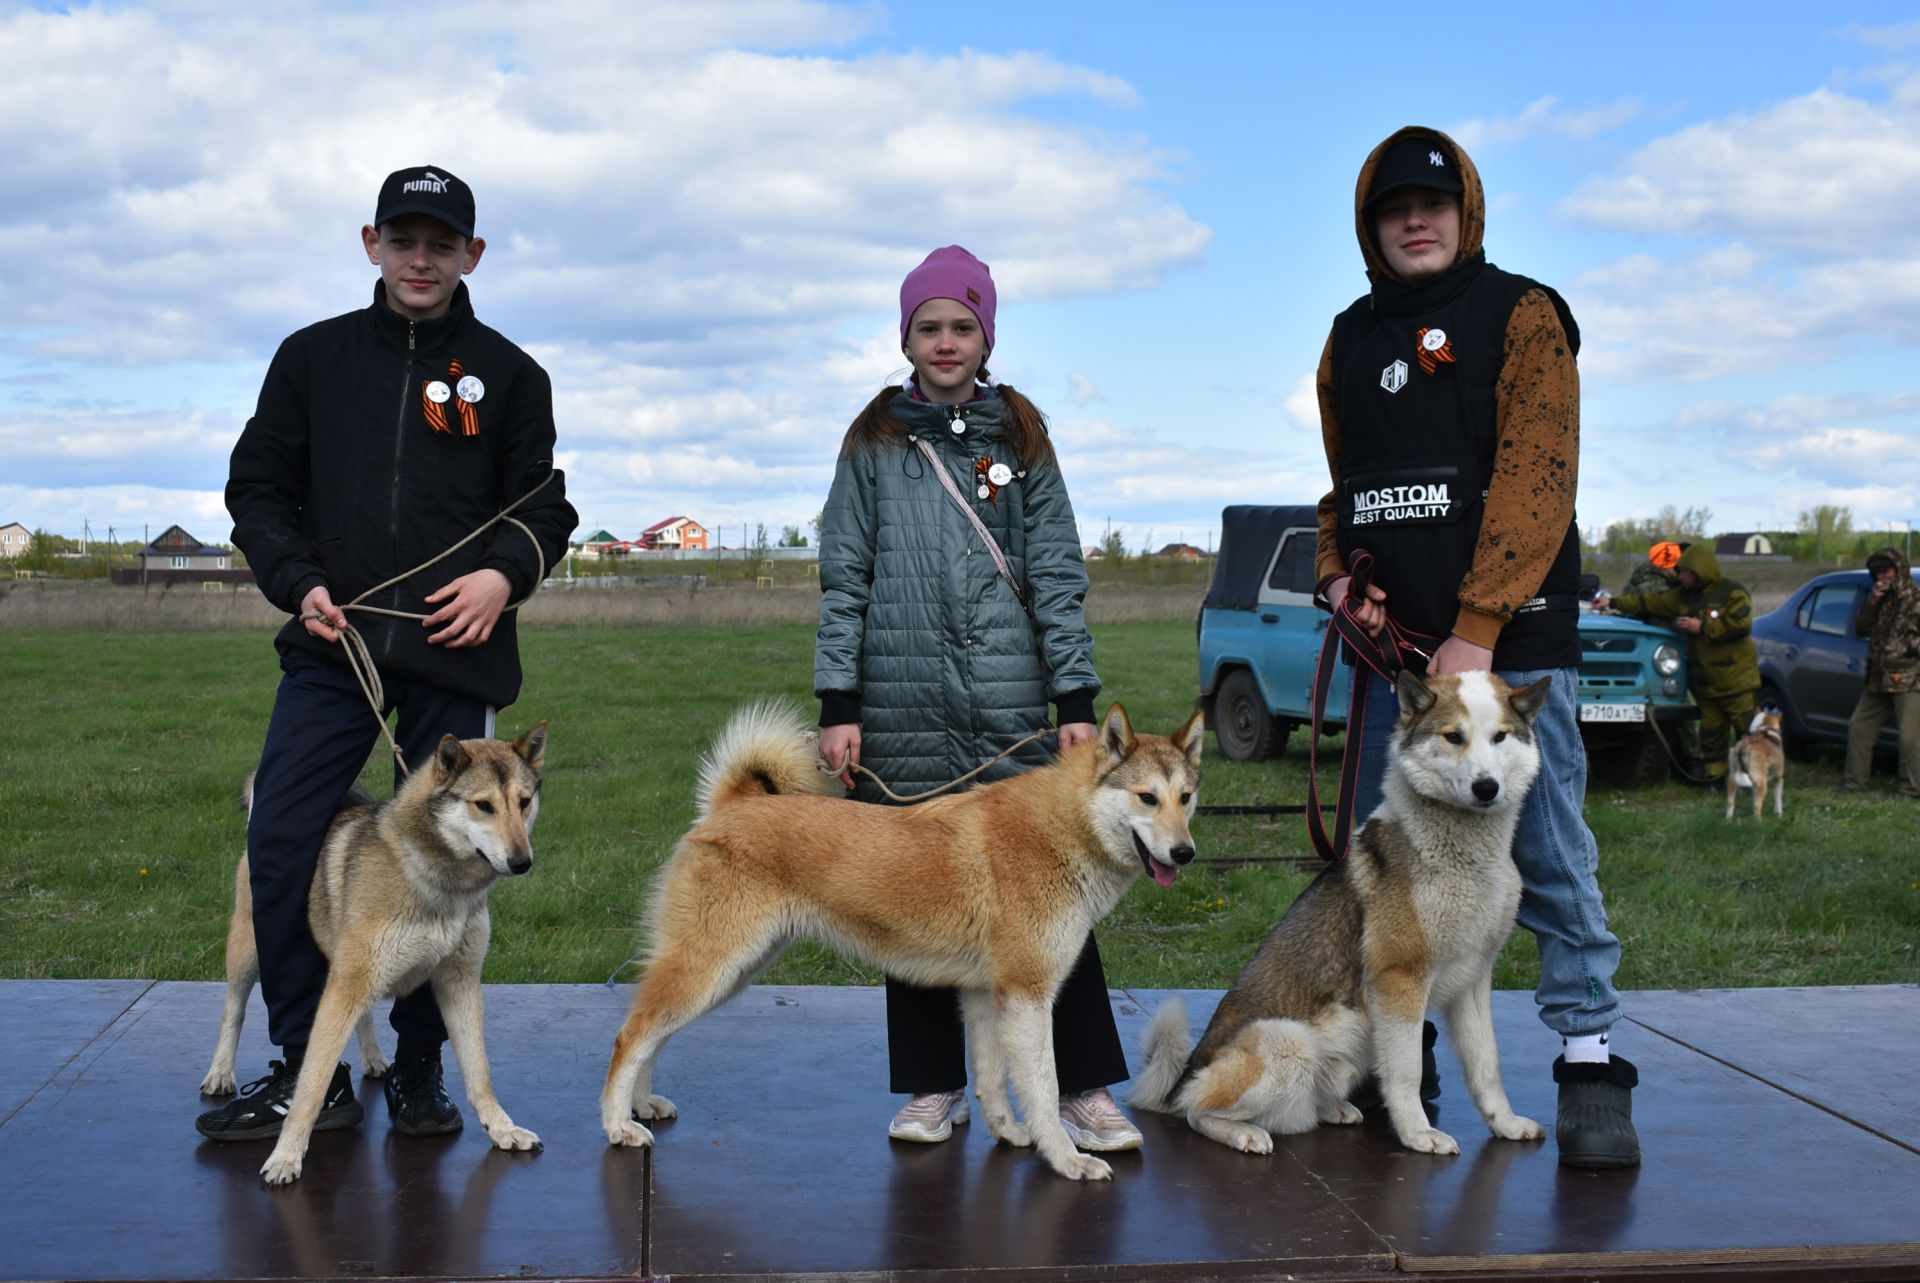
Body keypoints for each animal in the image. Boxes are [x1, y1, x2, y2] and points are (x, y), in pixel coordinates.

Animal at [203, 726, 549, 1190]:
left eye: (524, 801)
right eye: (483, 805)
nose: (521, 861)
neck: (435, 881)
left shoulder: (458, 983)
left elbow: (480, 1075)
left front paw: (502, 1129)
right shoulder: (345, 987)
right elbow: (311, 1084)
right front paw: (287, 1155)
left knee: (364, 1016)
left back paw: (373, 1058)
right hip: (251, 950)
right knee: (233, 1010)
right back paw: (221, 1073)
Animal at [602, 702, 1198, 1183]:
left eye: (1186, 798)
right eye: (1147, 798)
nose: (1185, 853)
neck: (1062, 828)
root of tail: (733, 803)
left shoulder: (988, 998)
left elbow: (992, 1080)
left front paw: (1009, 1133)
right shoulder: (1029, 997)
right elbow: (1044, 1089)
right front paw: (1068, 1161)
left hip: (727, 973)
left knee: (654, 1033)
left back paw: (641, 1105)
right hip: (713, 968)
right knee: (632, 1034)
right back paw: (617, 1124)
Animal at [1128, 676, 1551, 1160]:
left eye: (1500, 737)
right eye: (1453, 737)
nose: (1486, 787)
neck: (1462, 856)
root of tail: (1182, 1074)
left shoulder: (1475, 981)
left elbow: (1487, 1067)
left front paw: (1506, 1123)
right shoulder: (1400, 980)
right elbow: (1406, 1072)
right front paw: (1417, 1134)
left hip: (1352, 1049)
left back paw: (1334, 1109)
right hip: (1289, 1045)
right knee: (1197, 1111)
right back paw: (1243, 1133)